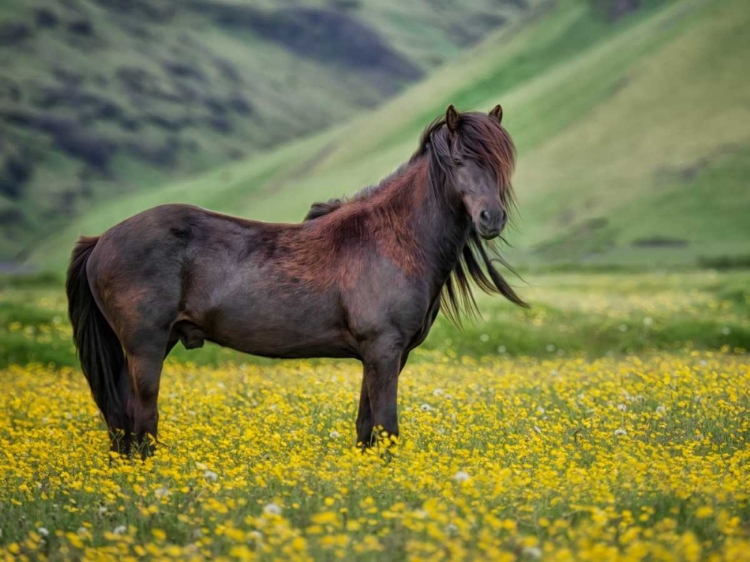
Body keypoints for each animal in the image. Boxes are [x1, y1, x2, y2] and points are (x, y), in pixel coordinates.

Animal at [66, 105, 528, 456]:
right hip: (146, 350)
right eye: (459, 162)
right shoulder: (383, 350)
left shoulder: (382, 356)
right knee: (142, 422)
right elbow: (386, 429)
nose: (491, 218)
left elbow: (366, 429)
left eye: (501, 163)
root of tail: (101, 239)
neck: (395, 238)